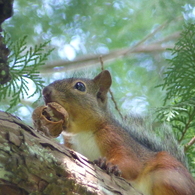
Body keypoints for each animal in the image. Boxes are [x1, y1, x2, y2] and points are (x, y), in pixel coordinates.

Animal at [36, 70, 195, 195]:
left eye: (79, 86)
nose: (45, 91)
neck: (82, 133)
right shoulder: (71, 144)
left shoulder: (117, 138)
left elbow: (130, 162)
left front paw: (109, 165)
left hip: (168, 173)